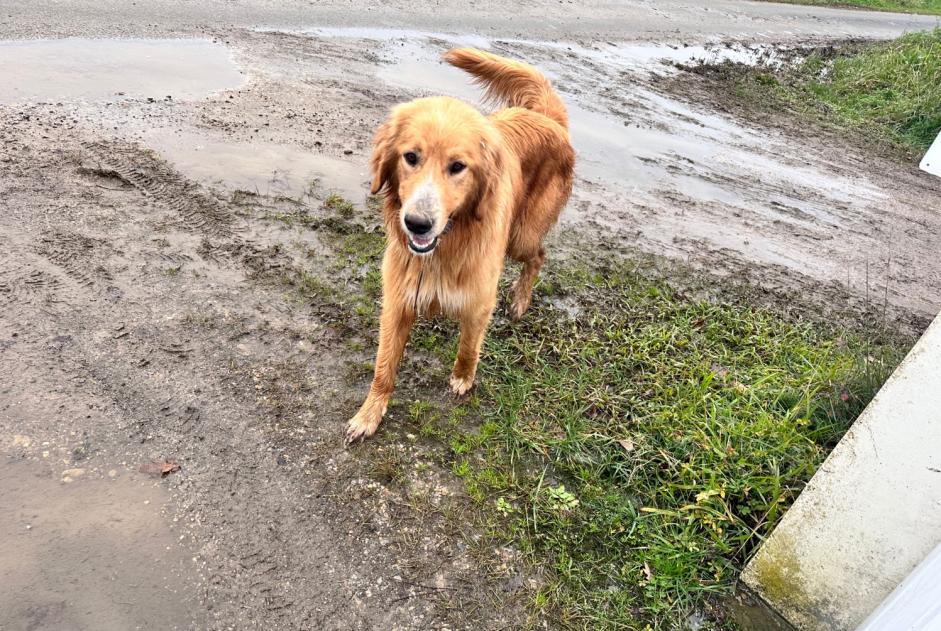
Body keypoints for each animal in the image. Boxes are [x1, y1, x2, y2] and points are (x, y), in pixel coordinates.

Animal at [346, 47, 572, 444]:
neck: (443, 248)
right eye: (410, 157)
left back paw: (520, 300)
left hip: (521, 237)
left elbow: (469, 346)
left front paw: (463, 379)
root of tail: (546, 118)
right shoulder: (398, 299)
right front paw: (369, 414)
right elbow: (383, 366)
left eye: (458, 166)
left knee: (539, 256)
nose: (416, 223)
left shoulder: (480, 298)